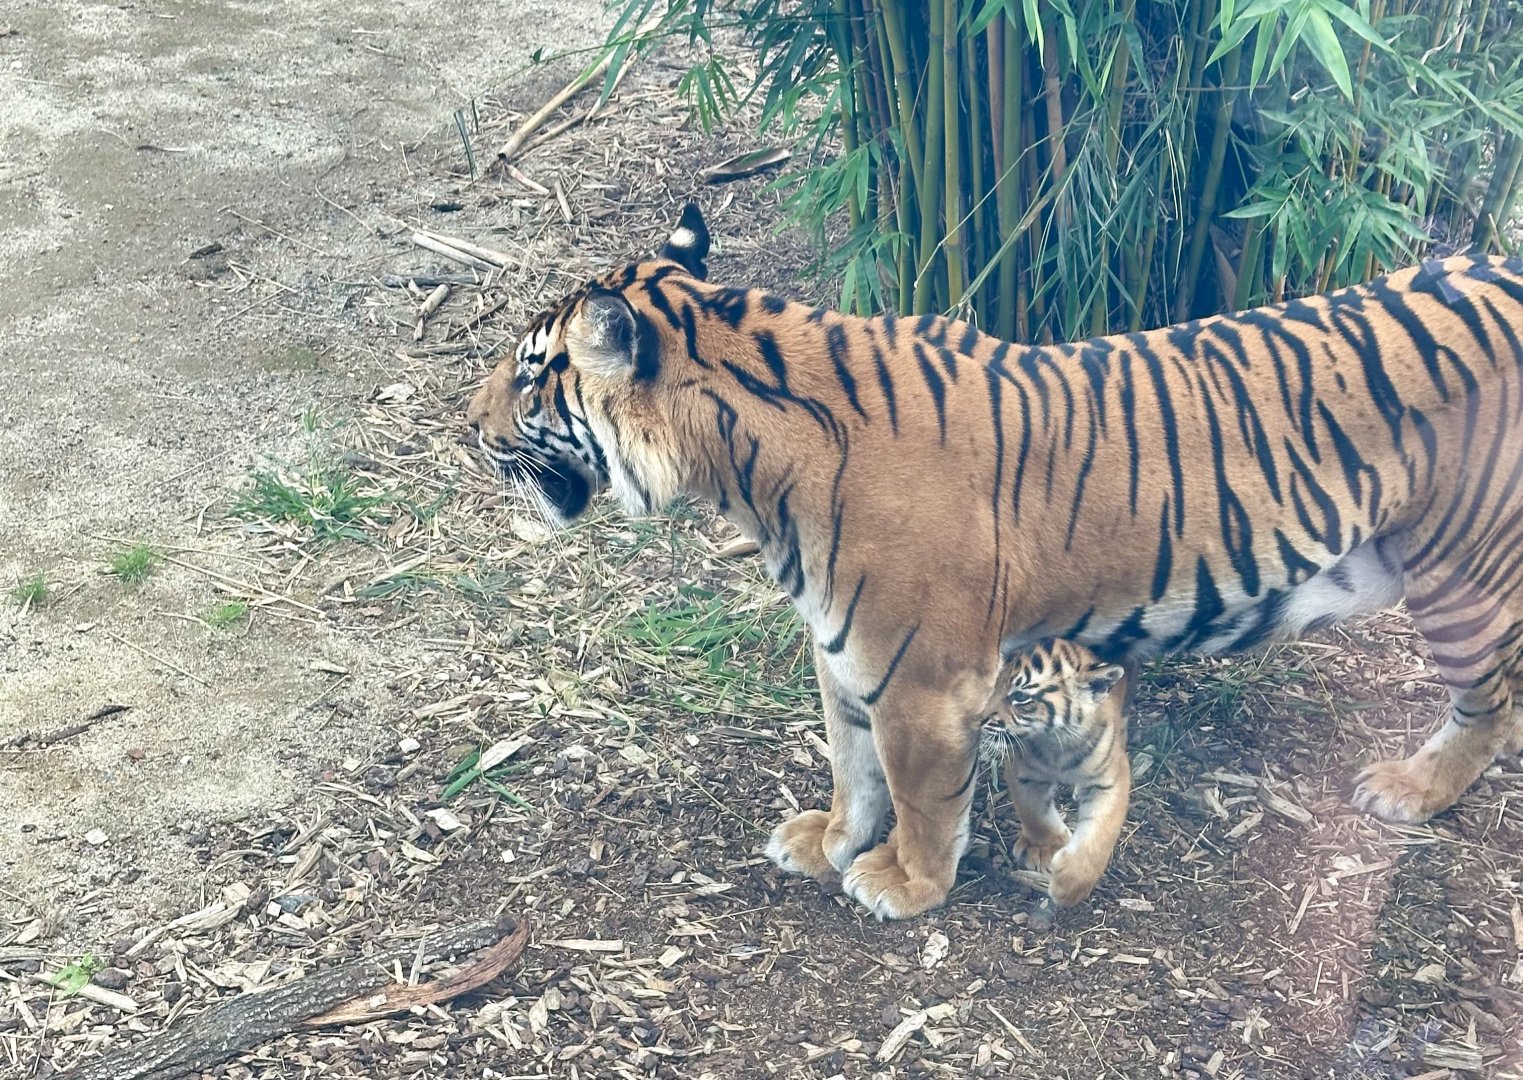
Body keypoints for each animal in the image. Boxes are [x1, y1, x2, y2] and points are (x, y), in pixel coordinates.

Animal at [982, 639, 1130, 908]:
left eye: (1020, 696)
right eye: (994, 684)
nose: (979, 718)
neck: (1057, 743)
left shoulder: (1109, 781)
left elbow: (1100, 835)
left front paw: (1069, 886)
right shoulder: (1025, 774)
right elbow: (1035, 814)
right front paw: (1045, 849)